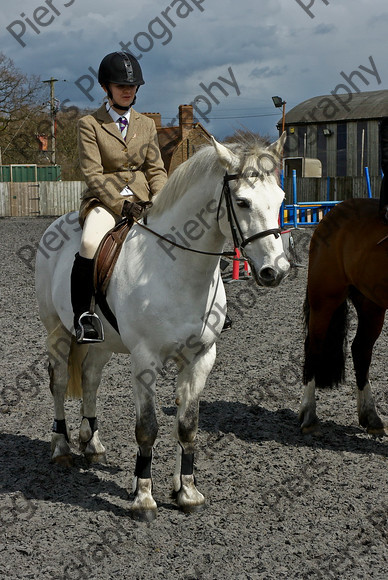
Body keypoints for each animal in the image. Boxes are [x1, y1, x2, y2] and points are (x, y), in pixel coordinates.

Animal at [35, 134, 288, 520]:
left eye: (281, 199)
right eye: (243, 202)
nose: (276, 269)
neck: (178, 270)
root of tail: (58, 224)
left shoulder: (201, 358)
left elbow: (188, 426)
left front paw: (188, 492)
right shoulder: (145, 360)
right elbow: (147, 429)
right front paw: (143, 498)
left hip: (102, 343)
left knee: (90, 379)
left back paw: (92, 444)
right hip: (57, 332)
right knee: (61, 383)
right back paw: (62, 447)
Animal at [300, 196, 388, 436]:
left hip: (371, 305)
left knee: (361, 350)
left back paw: (371, 416)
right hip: (324, 300)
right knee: (313, 347)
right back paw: (309, 415)